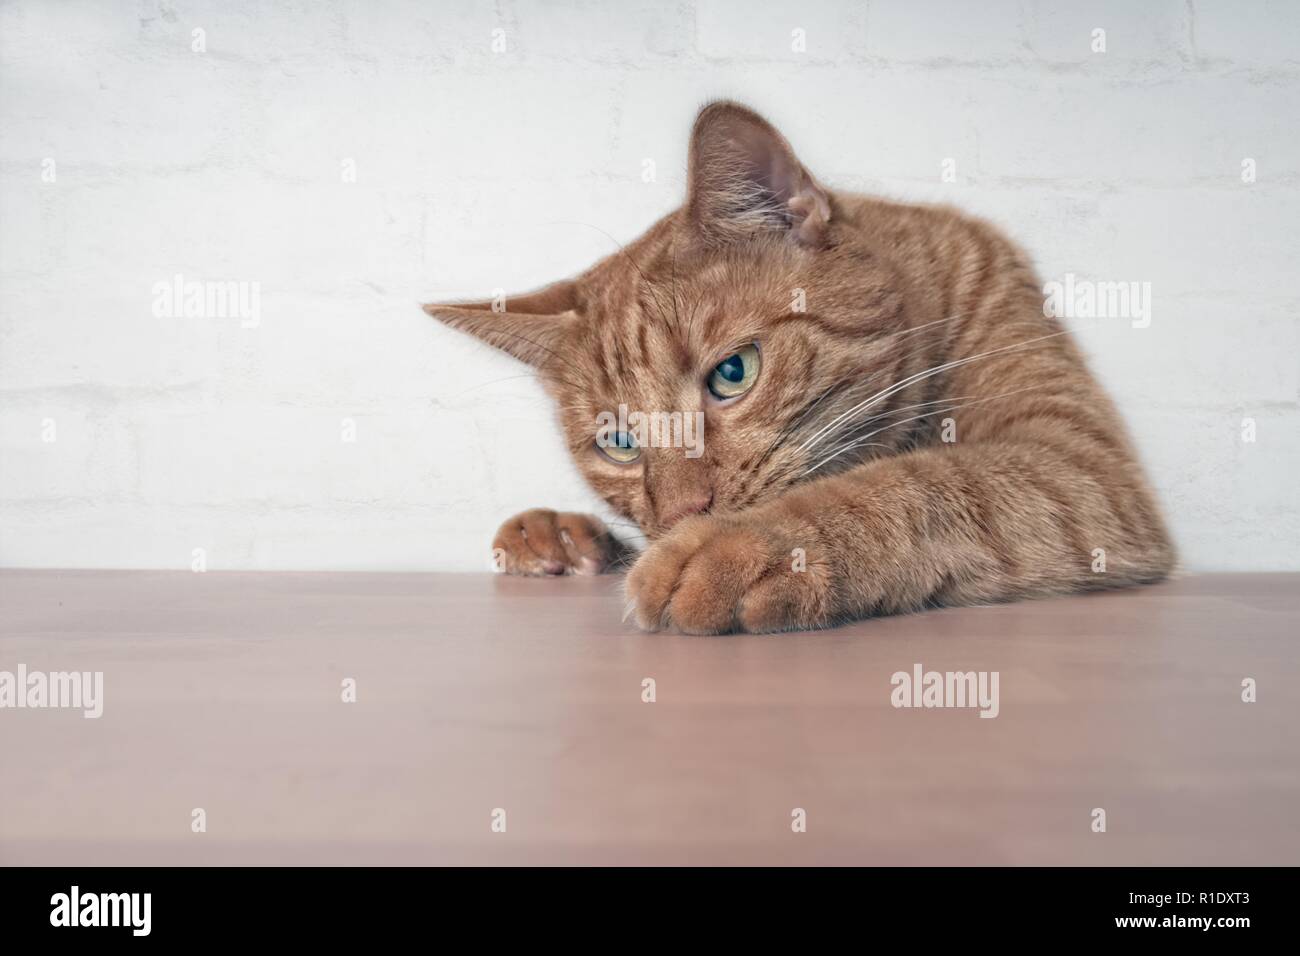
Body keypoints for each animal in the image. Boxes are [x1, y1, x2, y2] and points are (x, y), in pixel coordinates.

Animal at [426, 102, 1180, 634]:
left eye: (733, 374)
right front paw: (559, 534)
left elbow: (921, 481)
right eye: (618, 443)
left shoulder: (1081, 467)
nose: (684, 514)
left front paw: (745, 546)